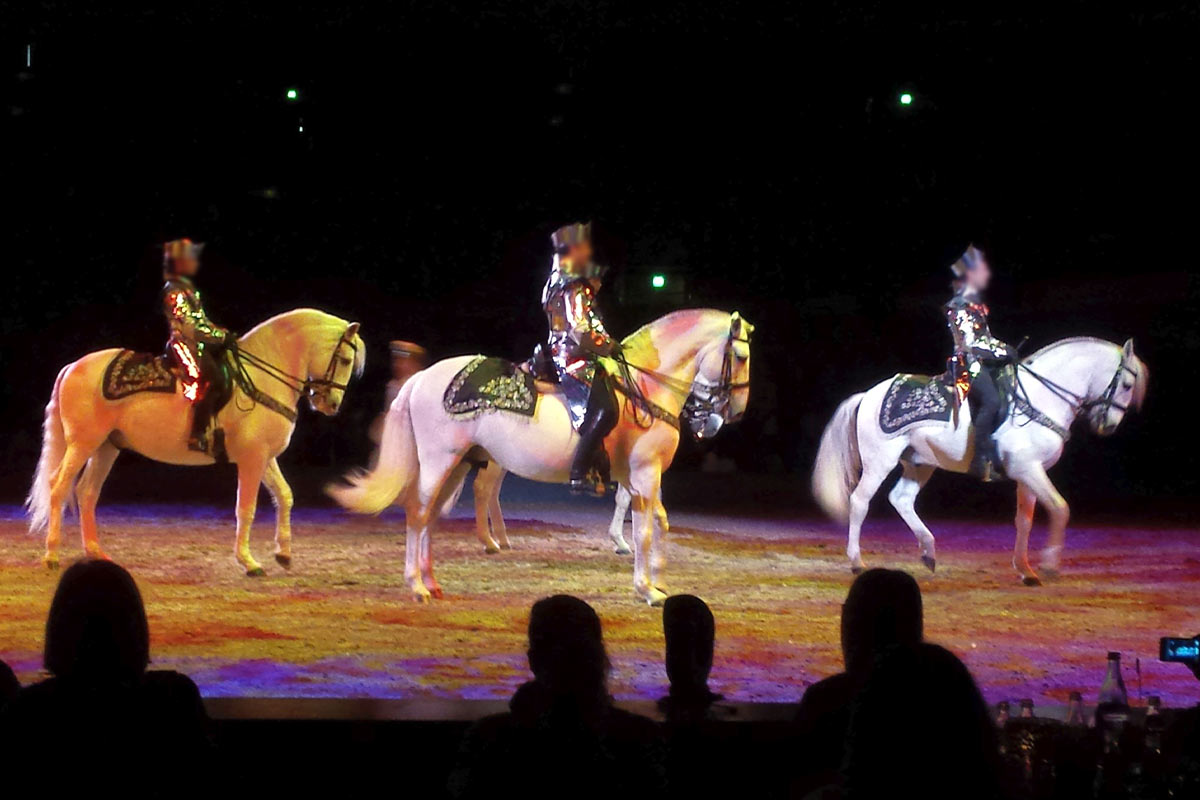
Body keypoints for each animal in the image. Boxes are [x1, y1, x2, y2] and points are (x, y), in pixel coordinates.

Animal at [27, 309, 364, 575]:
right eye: (346, 359)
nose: (331, 404)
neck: (259, 377)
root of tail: (72, 367)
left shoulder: (265, 457)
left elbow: (285, 495)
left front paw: (284, 554)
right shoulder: (252, 459)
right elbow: (247, 507)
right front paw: (249, 562)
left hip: (107, 447)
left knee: (87, 492)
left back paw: (95, 552)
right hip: (83, 444)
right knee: (59, 487)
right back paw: (52, 556)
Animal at [328, 309, 753, 604]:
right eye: (741, 355)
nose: (732, 413)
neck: (645, 387)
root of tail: (421, 378)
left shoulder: (639, 478)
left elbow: (659, 524)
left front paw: (657, 581)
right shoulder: (645, 473)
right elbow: (645, 531)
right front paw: (647, 590)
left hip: (460, 463)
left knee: (432, 516)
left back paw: (432, 580)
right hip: (440, 461)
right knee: (418, 513)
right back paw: (417, 586)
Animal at [811, 335, 1147, 585]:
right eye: (1127, 385)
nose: (1108, 425)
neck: (1041, 398)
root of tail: (869, 394)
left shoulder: (1029, 473)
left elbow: (1024, 521)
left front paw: (1025, 570)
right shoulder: (1029, 469)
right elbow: (1060, 508)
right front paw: (1049, 566)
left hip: (920, 462)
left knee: (902, 499)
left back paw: (928, 552)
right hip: (880, 461)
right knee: (860, 501)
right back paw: (857, 561)